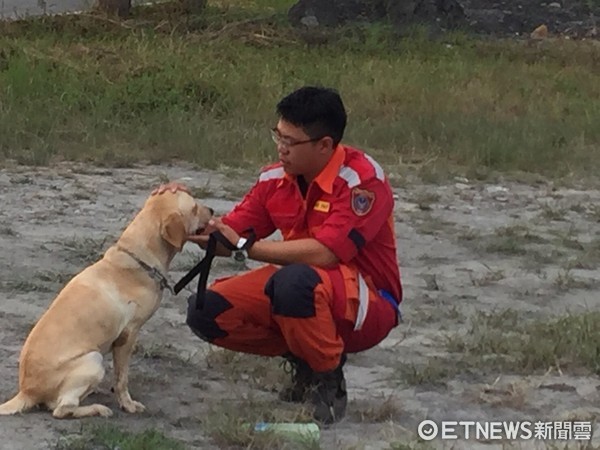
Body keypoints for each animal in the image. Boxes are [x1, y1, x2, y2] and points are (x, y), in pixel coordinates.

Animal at [0, 189, 213, 418]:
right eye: (194, 208)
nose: (212, 210)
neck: (139, 259)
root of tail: (26, 392)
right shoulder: (128, 336)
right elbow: (122, 379)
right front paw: (128, 404)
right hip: (93, 359)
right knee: (62, 409)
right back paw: (97, 408)